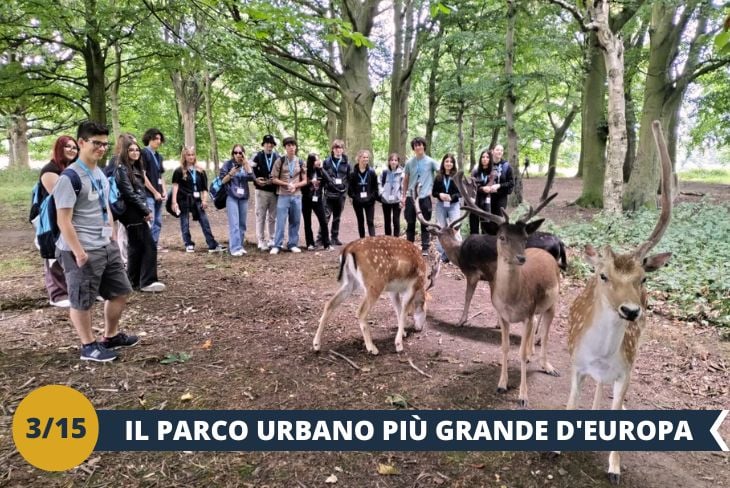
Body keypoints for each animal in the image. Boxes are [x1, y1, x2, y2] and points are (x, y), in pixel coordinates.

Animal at [452, 173, 560, 408]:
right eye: (502, 237)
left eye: (524, 238)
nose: (521, 258)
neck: (511, 300)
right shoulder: (502, 315)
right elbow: (505, 347)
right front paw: (501, 384)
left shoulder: (527, 314)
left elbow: (520, 352)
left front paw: (523, 396)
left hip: (553, 303)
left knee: (545, 333)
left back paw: (548, 366)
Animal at [564, 121, 672, 484]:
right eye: (603, 276)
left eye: (643, 279)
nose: (631, 310)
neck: (600, 356)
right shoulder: (576, 364)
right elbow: (571, 403)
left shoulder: (626, 370)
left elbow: (616, 405)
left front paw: (614, 468)